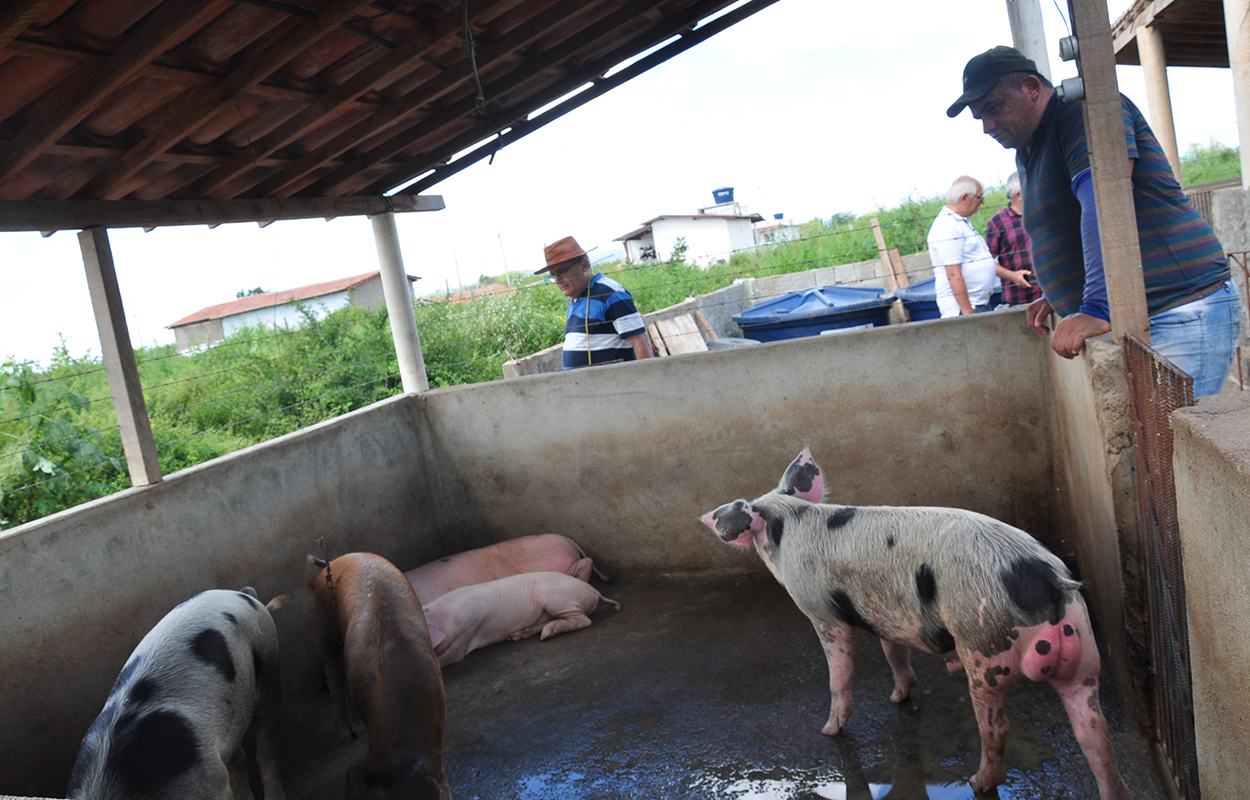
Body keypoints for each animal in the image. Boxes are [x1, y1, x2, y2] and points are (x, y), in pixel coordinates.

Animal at [425, 570, 620, 670]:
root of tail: (594, 591)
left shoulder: (463, 635)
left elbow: (450, 657)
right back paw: (518, 636)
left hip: (553, 595)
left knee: (584, 621)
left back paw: (546, 634)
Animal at [700, 450, 1140, 800]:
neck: (791, 521)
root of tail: (1046, 578)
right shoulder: (886, 615)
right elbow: (894, 654)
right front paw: (899, 698)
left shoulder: (823, 613)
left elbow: (839, 672)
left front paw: (828, 731)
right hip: (1084, 656)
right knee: (1095, 733)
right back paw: (1115, 789)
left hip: (984, 647)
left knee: (997, 726)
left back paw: (978, 782)